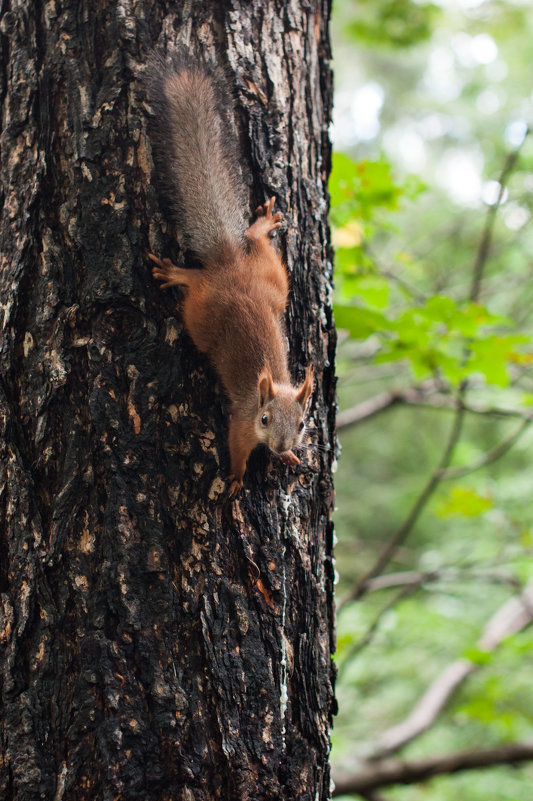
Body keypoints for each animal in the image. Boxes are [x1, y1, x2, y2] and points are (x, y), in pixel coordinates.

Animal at [143, 54, 314, 494]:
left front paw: (289, 457)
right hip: (201, 314)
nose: (281, 445)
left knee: (255, 242)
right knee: (196, 284)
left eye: (302, 424)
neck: (264, 396)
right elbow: (236, 447)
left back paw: (261, 227)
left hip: (274, 280)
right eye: (265, 419)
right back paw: (179, 274)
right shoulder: (241, 421)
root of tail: (229, 266)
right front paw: (236, 478)